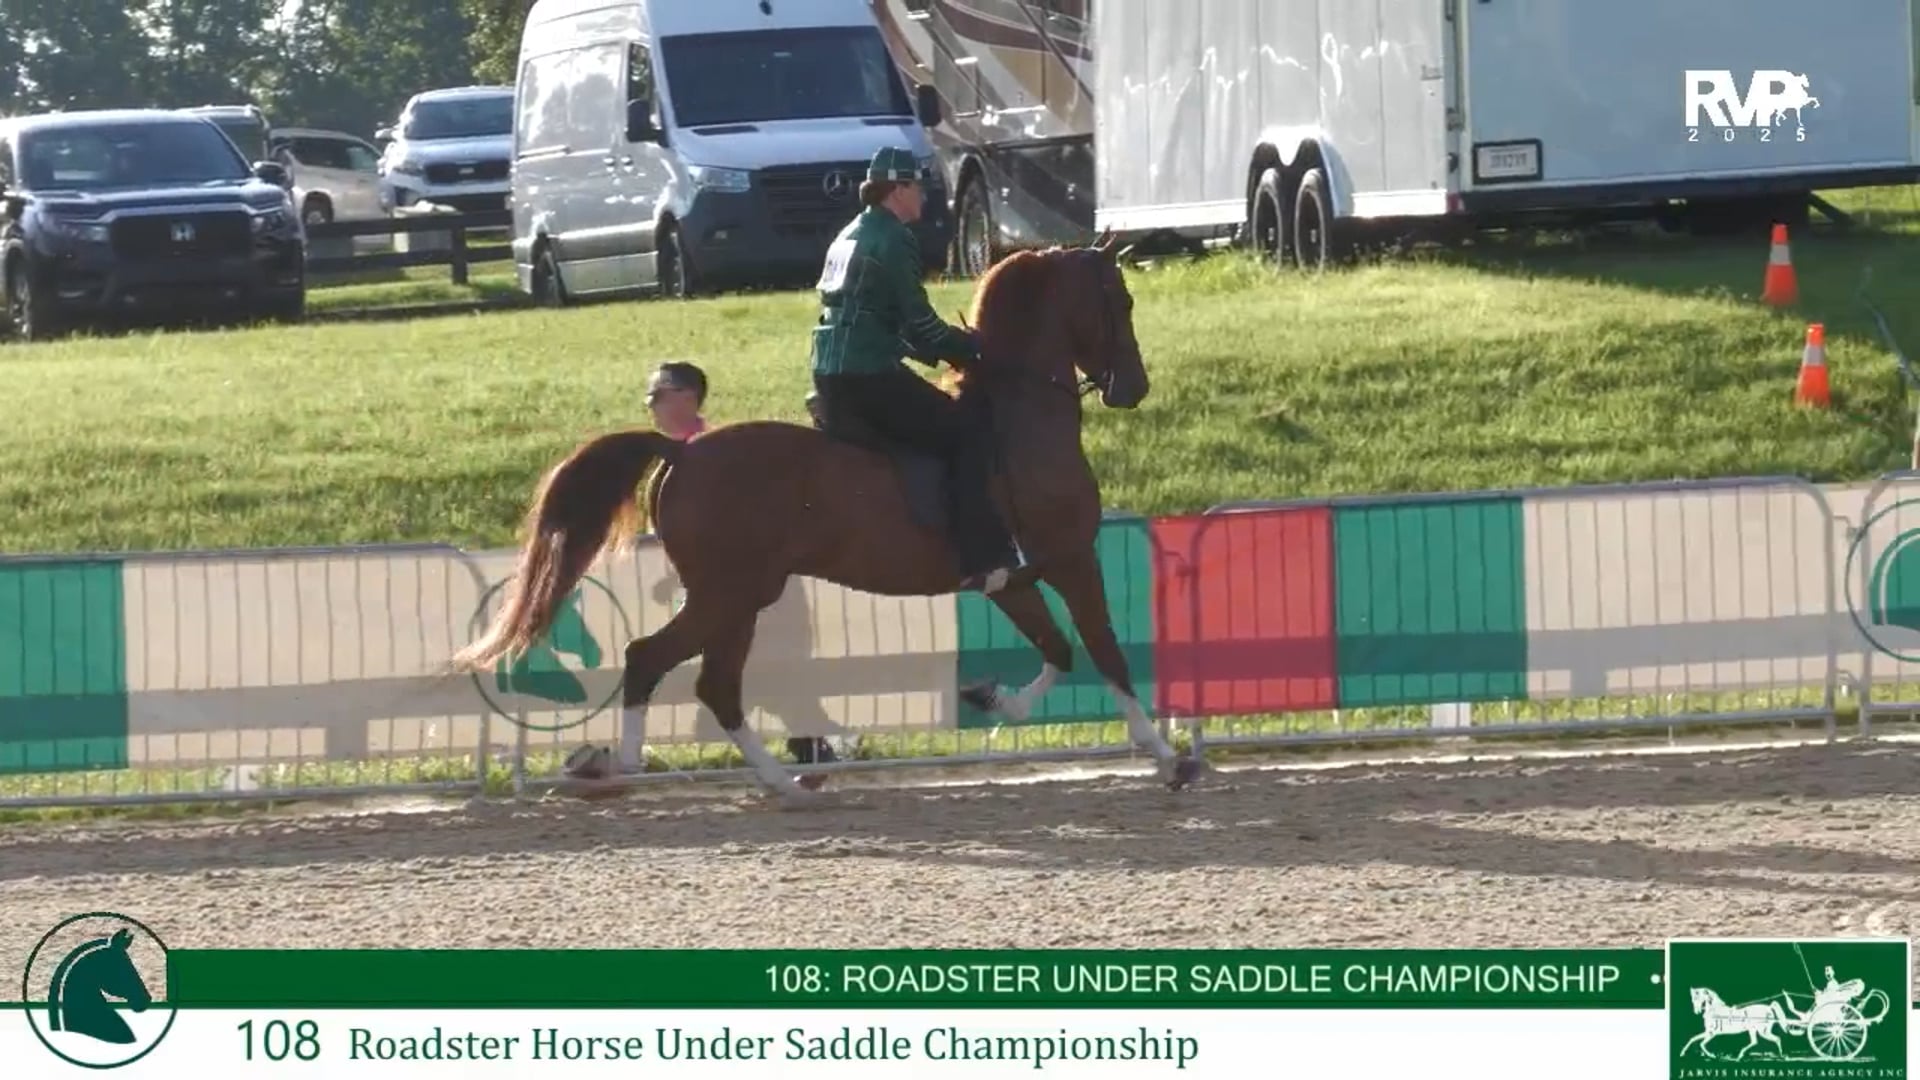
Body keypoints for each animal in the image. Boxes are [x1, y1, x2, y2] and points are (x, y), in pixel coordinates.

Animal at [452, 231, 1206, 800]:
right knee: (656, 661)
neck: (1020, 412)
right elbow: (1104, 651)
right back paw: (643, 766)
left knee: (713, 683)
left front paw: (993, 699)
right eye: (1120, 298)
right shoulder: (1072, 560)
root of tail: (683, 449)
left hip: (740, 599)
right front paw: (1169, 759)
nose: (1132, 388)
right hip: (730, 594)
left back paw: (780, 783)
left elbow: (1059, 651)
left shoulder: (1015, 580)